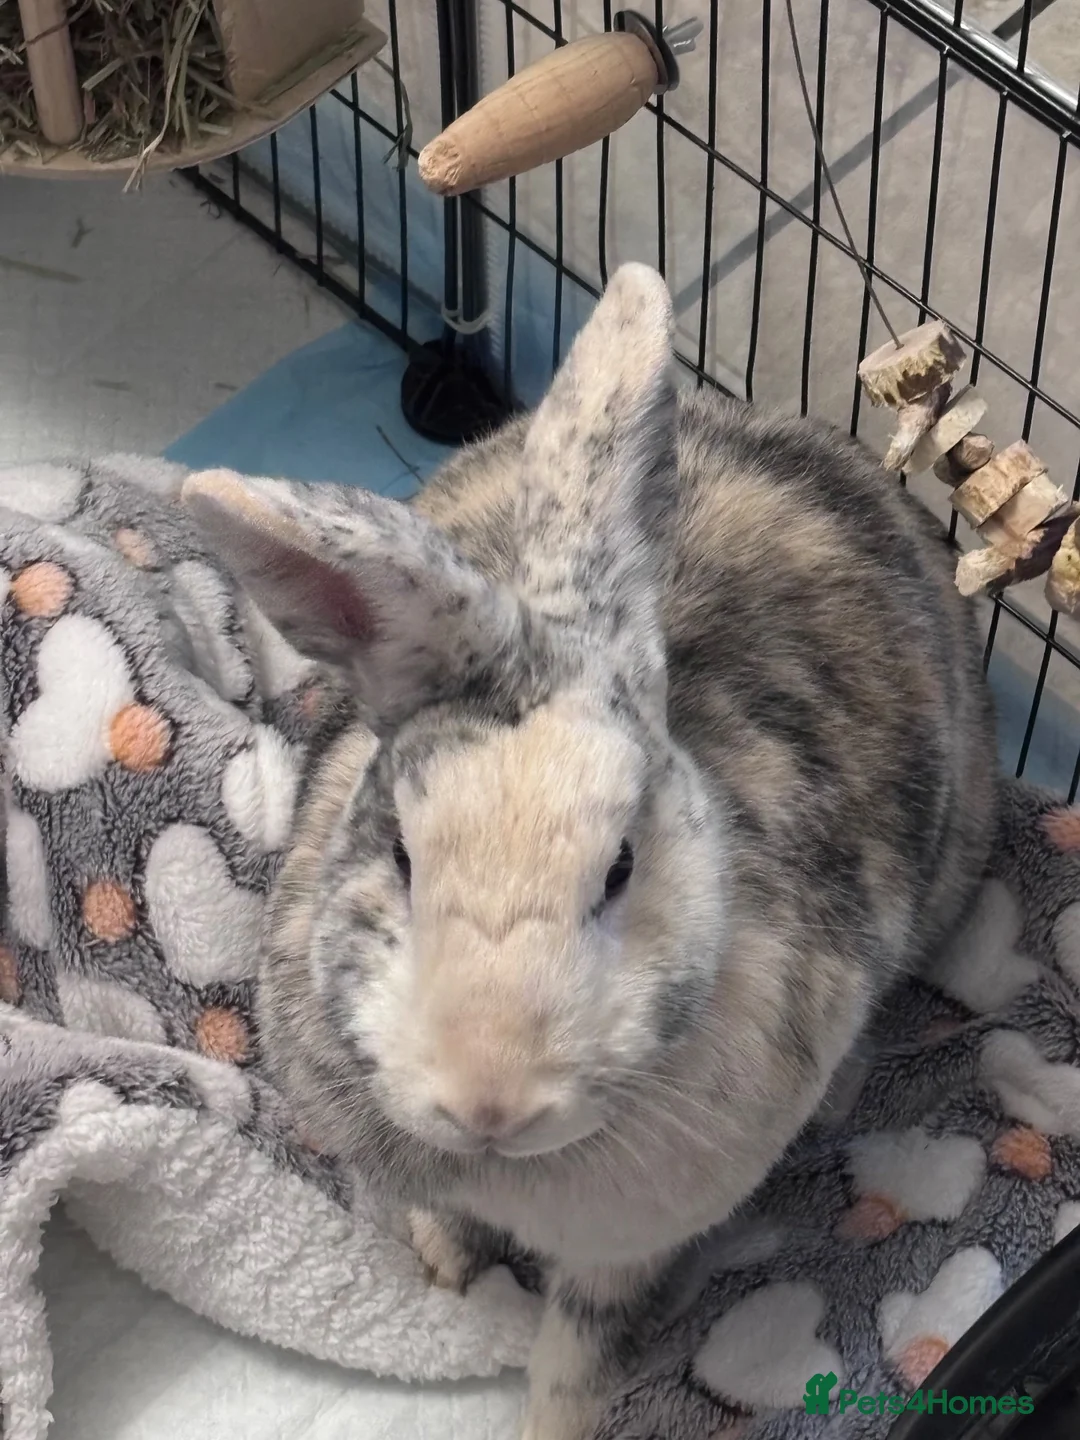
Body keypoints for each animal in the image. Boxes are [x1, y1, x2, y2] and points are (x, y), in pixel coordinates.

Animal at [182, 262, 997, 1440]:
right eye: (402, 858)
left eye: (620, 868)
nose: (490, 1103)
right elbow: (447, 1219)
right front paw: (444, 1268)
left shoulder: (631, 1250)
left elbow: (580, 1348)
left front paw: (550, 1424)